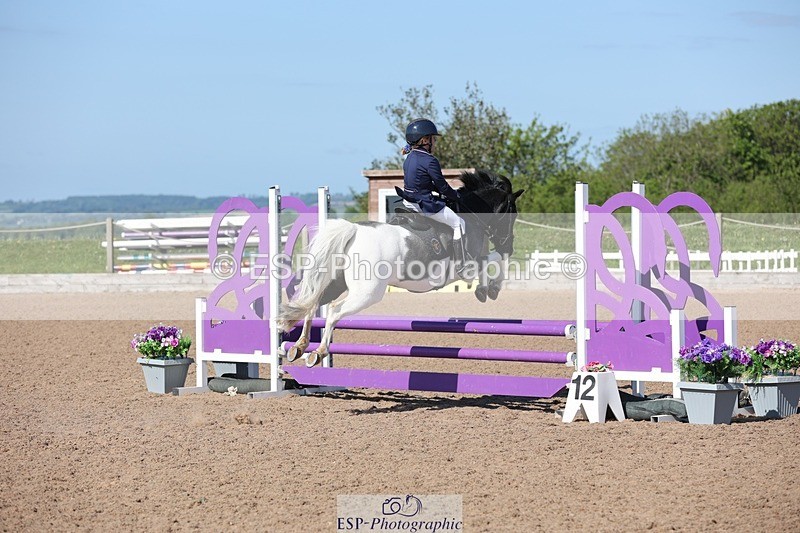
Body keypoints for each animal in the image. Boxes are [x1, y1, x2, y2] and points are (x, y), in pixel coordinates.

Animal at [278, 170, 524, 367]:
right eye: (511, 212)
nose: (509, 244)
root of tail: (353, 231)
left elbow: (492, 262)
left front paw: (484, 290)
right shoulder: (469, 265)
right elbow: (496, 259)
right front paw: (492, 288)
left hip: (335, 283)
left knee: (312, 304)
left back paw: (299, 347)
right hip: (367, 293)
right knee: (333, 311)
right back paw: (319, 352)